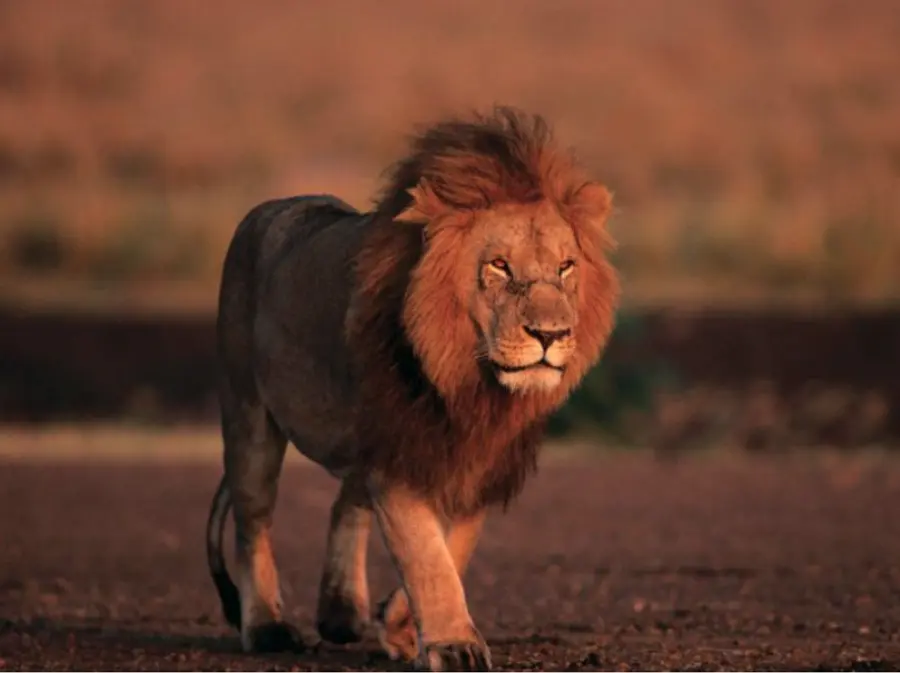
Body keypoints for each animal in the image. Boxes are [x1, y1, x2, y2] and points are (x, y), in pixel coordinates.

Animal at [205, 106, 620, 671]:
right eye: (499, 265)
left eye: (566, 267)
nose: (551, 335)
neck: (470, 383)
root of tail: (270, 208)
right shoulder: (398, 448)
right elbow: (426, 553)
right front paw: (454, 644)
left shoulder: (478, 458)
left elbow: (453, 547)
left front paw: (399, 625)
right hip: (249, 413)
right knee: (254, 521)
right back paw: (267, 627)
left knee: (345, 502)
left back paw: (341, 613)